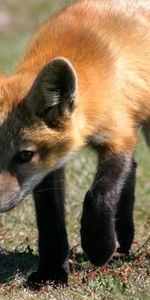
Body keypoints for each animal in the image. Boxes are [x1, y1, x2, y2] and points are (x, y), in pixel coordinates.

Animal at [0, 0, 150, 286]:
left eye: (24, 155)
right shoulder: (51, 163)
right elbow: (50, 218)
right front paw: (51, 272)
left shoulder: (120, 136)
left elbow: (99, 195)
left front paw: (99, 246)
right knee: (134, 168)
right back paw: (124, 239)